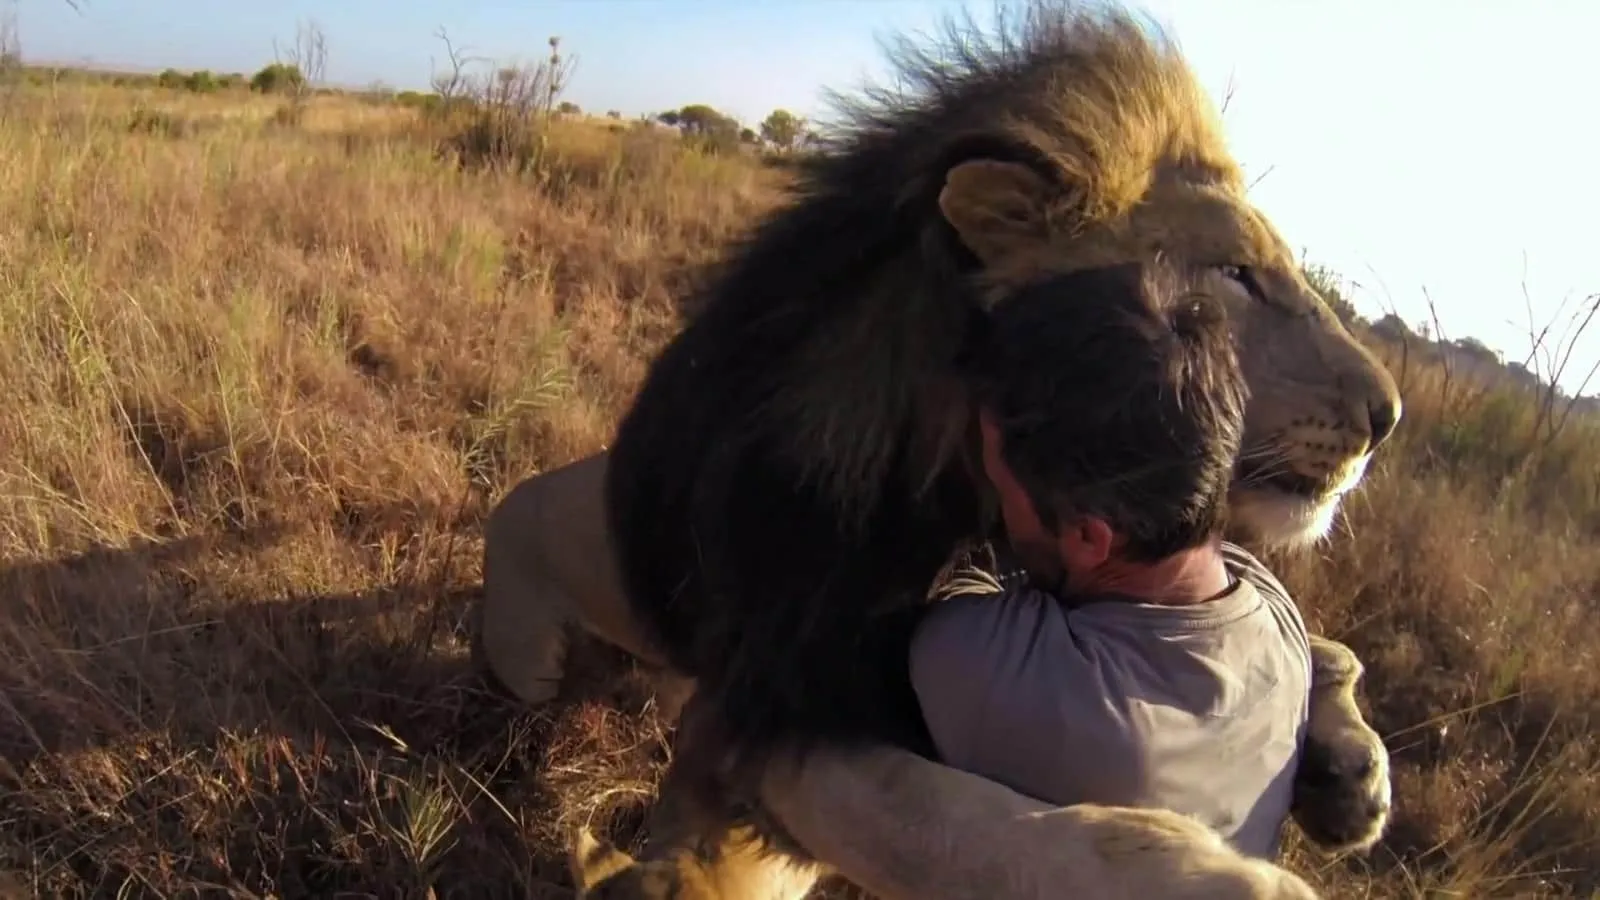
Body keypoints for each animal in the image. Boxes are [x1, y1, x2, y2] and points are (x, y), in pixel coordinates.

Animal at [478, 1, 1401, 894]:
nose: (1387, 417)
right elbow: (944, 819)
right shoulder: (777, 690)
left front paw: (1352, 768)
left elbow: (1327, 645)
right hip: (530, 661)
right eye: (1238, 275)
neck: (951, 474)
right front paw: (1205, 878)